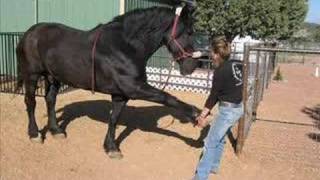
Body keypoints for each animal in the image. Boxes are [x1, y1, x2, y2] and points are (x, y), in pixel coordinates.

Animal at [15, 5, 200, 159]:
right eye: (189, 32)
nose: (193, 66)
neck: (125, 47)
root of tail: (29, 33)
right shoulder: (134, 88)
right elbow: (166, 97)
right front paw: (195, 115)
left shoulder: (121, 95)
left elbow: (114, 118)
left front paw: (111, 147)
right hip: (32, 76)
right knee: (30, 103)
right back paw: (34, 134)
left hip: (53, 77)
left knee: (50, 100)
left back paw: (56, 131)